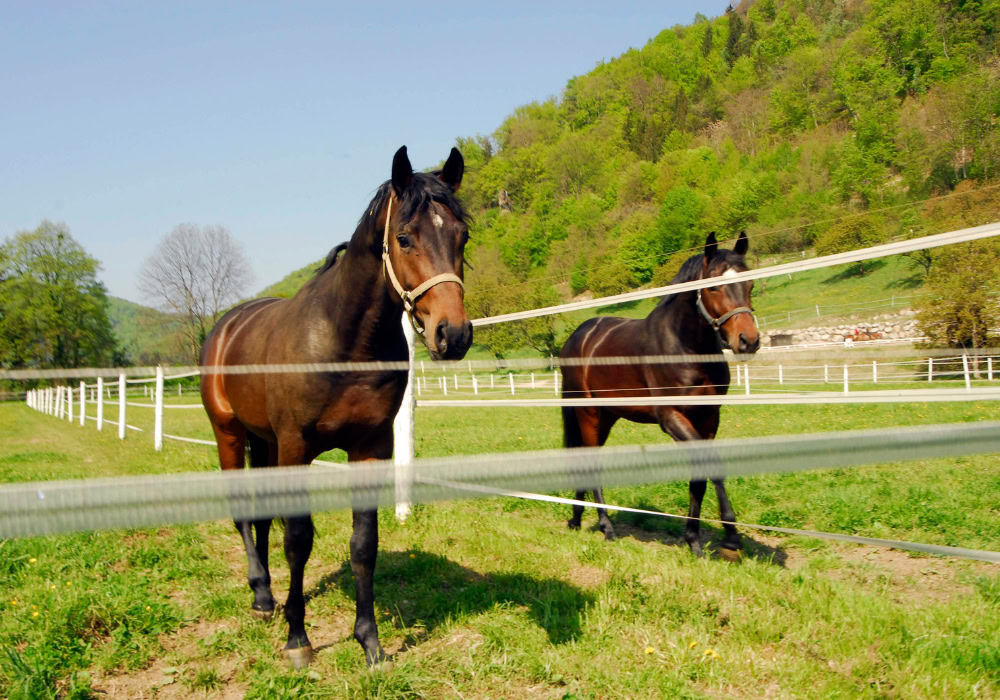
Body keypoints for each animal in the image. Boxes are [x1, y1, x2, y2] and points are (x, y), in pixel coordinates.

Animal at [200, 146, 472, 668]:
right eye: (404, 238)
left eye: (462, 235)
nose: (454, 335)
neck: (343, 344)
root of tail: (226, 325)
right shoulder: (295, 447)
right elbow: (298, 539)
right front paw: (298, 639)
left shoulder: (369, 448)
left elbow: (363, 544)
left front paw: (370, 641)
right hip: (231, 435)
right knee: (243, 514)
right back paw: (261, 596)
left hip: (262, 443)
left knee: (260, 518)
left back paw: (267, 594)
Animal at [559, 232, 759, 559]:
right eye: (713, 287)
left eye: (750, 284)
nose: (748, 341)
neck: (684, 346)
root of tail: (579, 336)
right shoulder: (671, 418)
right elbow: (712, 466)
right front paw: (731, 538)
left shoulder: (708, 419)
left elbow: (698, 480)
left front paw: (694, 541)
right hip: (587, 413)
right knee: (591, 462)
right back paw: (606, 527)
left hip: (607, 417)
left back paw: (577, 519)